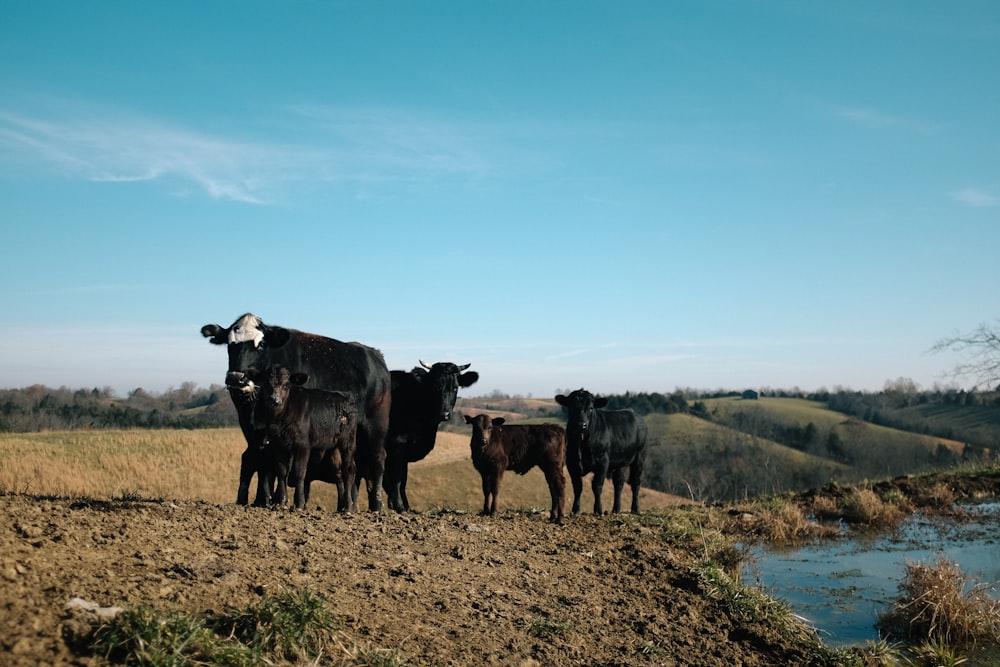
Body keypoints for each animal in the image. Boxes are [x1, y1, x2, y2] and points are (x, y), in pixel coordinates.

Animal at [201, 314, 392, 512]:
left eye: (260, 344)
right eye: (230, 344)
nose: (236, 378)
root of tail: (374, 355)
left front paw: (274, 499)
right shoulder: (253, 430)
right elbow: (260, 462)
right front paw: (262, 500)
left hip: (375, 425)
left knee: (377, 459)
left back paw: (376, 504)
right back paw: (349, 505)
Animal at [382, 360, 476, 512]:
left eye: (455, 388)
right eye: (435, 387)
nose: (444, 414)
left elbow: (403, 479)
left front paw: (404, 505)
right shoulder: (396, 445)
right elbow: (396, 478)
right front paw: (399, 506)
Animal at [556, 386, 648, 516]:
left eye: (590, 408)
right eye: (572, 407)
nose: (582, 424)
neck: (581, 443)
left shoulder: (602, 462)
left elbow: (597, 485)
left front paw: (598, 510)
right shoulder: (571, 462)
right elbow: (577, 487)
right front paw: (575, 510)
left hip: (640, 457)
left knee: (636, 482)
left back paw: (635, 509)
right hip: (621, 462)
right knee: (619, 483)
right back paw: (616, 509)